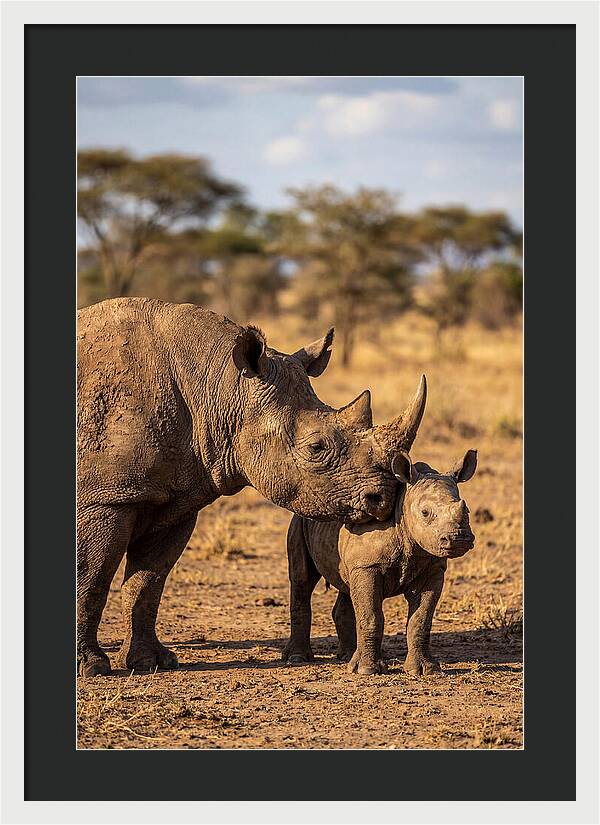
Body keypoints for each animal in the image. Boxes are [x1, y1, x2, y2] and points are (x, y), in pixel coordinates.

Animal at [77, 298, 424, 676]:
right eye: (316, 448)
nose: (383, 498)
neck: (221, 387)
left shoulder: (176, 499)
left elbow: (148, 582)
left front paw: (150, 662)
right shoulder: (106, 498)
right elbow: (91, 576)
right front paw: (92, 667)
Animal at [283, 431, 478, 677]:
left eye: (467, 510)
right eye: (425, 513)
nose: (459, 538)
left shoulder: (432, 568)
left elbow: (421, 620)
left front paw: (425, 670)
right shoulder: (368, 566)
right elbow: (371, 616)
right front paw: (367, 671)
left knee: (346, 586)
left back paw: (347, 657)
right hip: (299, 520)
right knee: (302, 580)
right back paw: (298, 658)